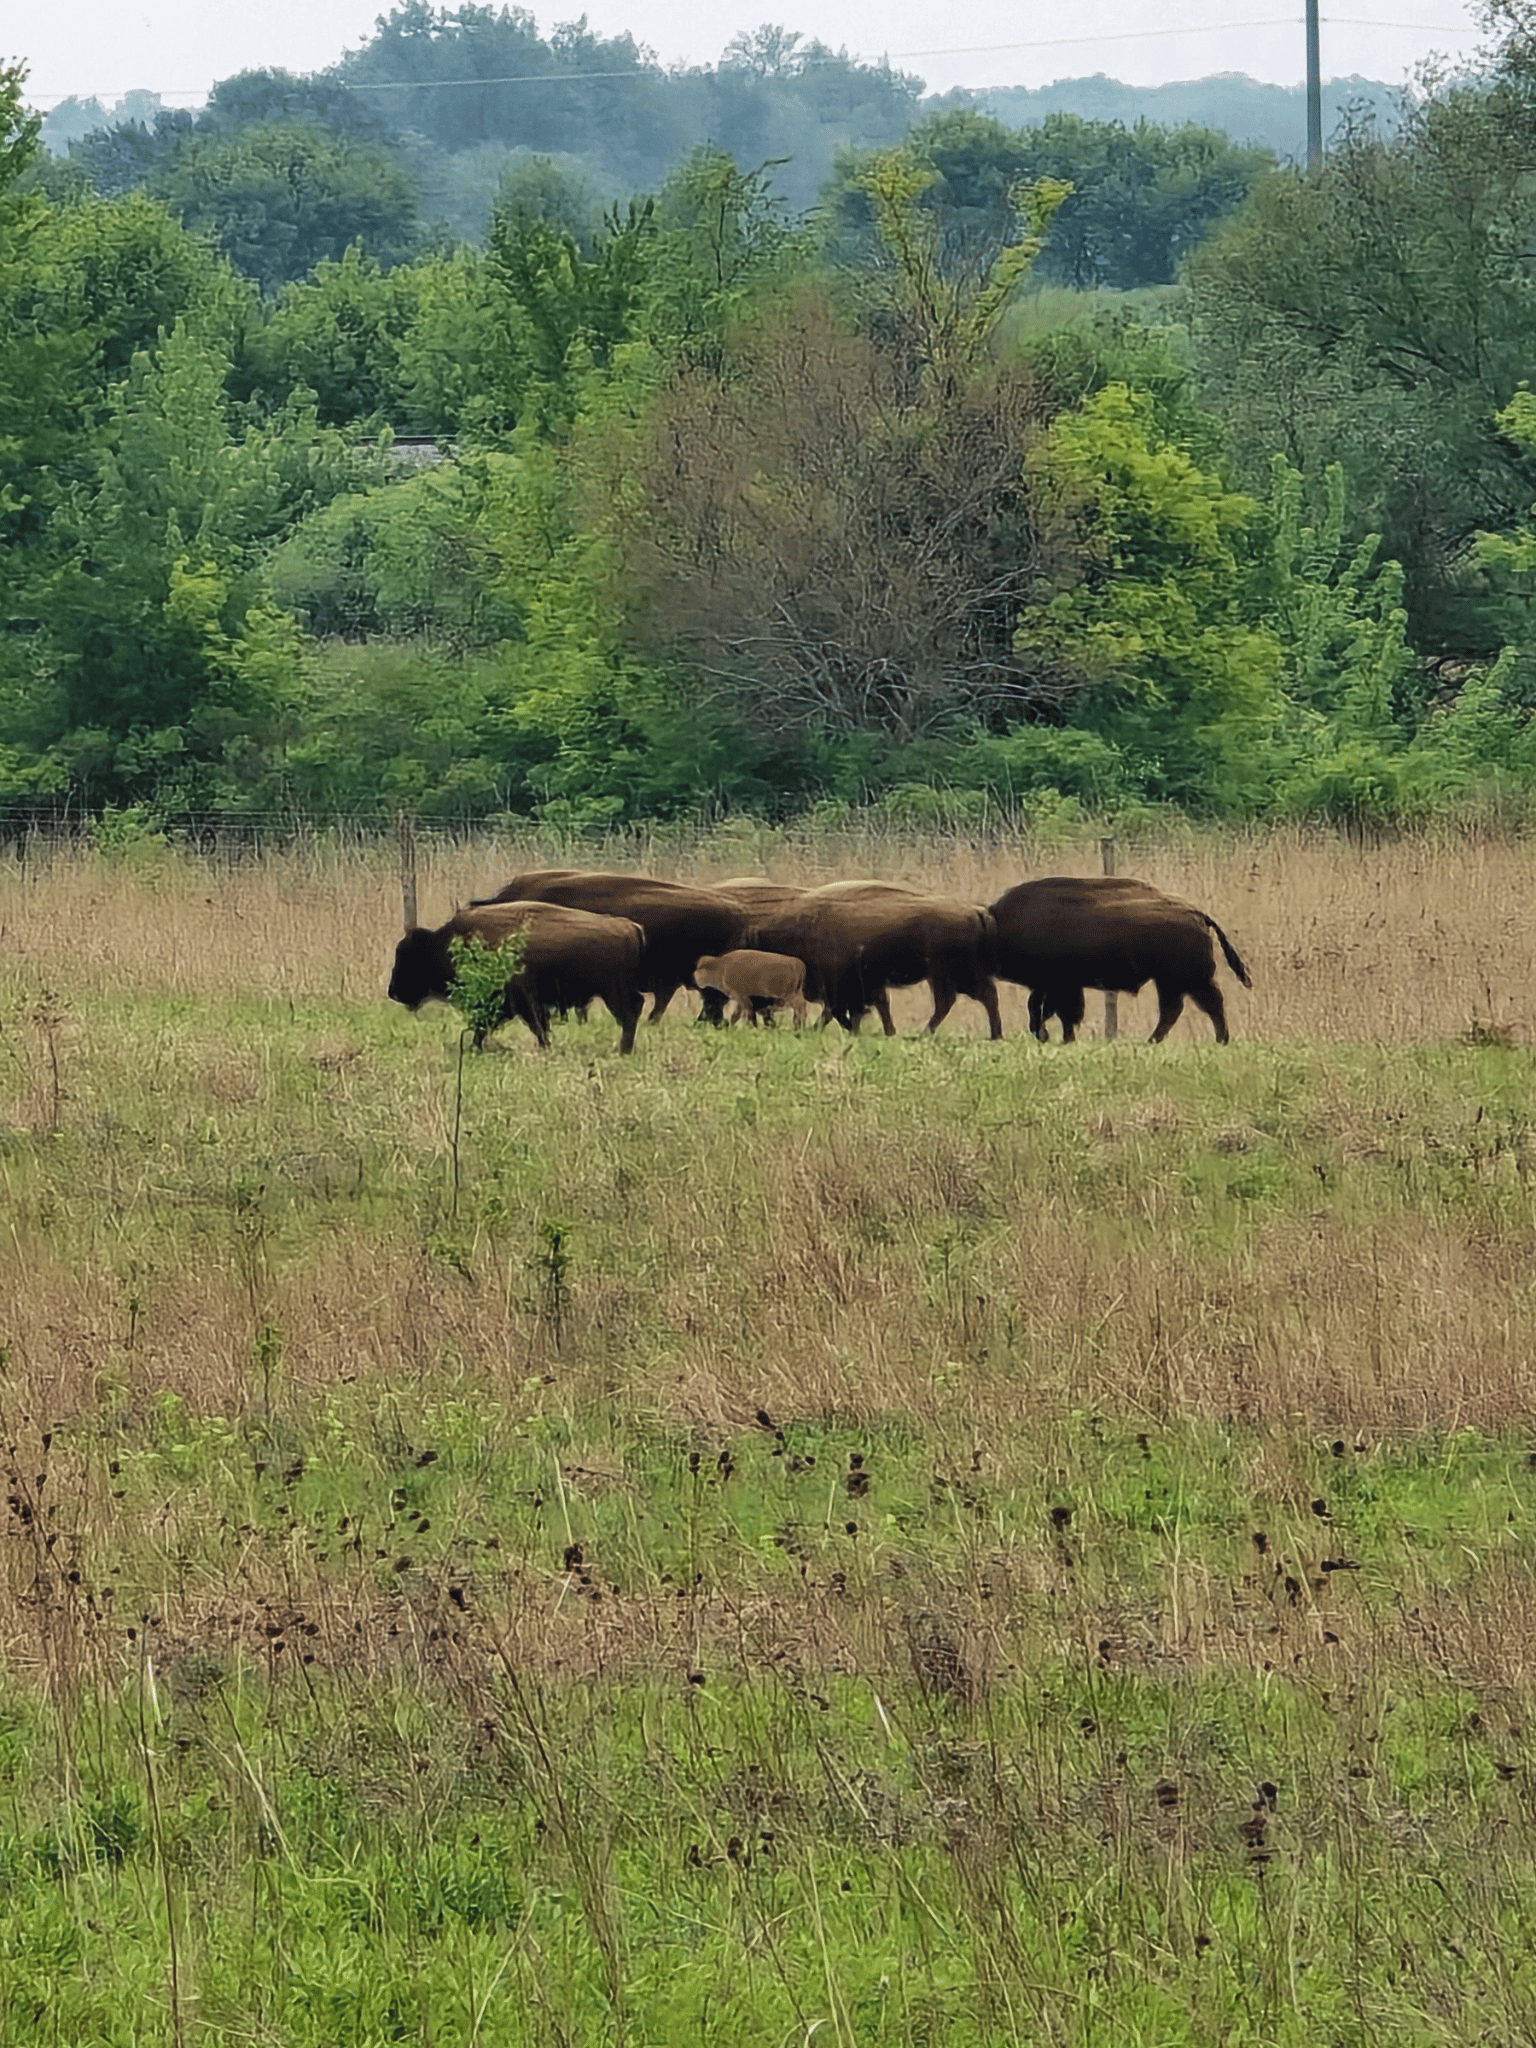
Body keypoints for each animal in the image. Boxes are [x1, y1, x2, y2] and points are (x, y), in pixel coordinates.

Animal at [389, 902, 646, 1054]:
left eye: (410, 958)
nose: (392, 992)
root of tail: (629, 926)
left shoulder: (519, 1000)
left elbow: (533, 1026)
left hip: (612, 992)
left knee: (630, 1012)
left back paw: (623, 1049)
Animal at [988, 875, 1252, 1043]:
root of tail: (1198, 914)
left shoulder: (1059, 985)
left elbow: (1058, 1011)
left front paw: (1056, 1037)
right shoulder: (1050, 985)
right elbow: (1043, 1008)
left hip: (1190, 978)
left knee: (1210, 1004)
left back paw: (1220, 1039)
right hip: (1169, 981)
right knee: (1174, 1009)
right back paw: (1152, 1041)